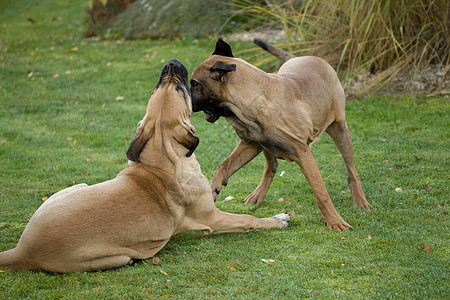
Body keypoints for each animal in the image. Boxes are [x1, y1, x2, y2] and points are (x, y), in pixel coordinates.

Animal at [0, 59, 290, 274]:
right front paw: (278, 220)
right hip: (114, 257)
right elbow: (249, 221)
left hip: (75, 187)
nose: (171, 64)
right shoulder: (212, 218)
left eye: (158, 87)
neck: (163, 158)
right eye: (180, 90)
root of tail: (21, 251)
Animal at [190, 38, 370, 231]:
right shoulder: (250, 144)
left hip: (340, 130)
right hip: (266, 146)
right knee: (272, 166)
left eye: (194, 83)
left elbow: (321, 192)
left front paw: (335, 221)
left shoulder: (303, 154)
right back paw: (258, 195)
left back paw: (360, 201)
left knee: (351, 170)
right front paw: (212, 192)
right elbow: (222, 167)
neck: (253, 99)